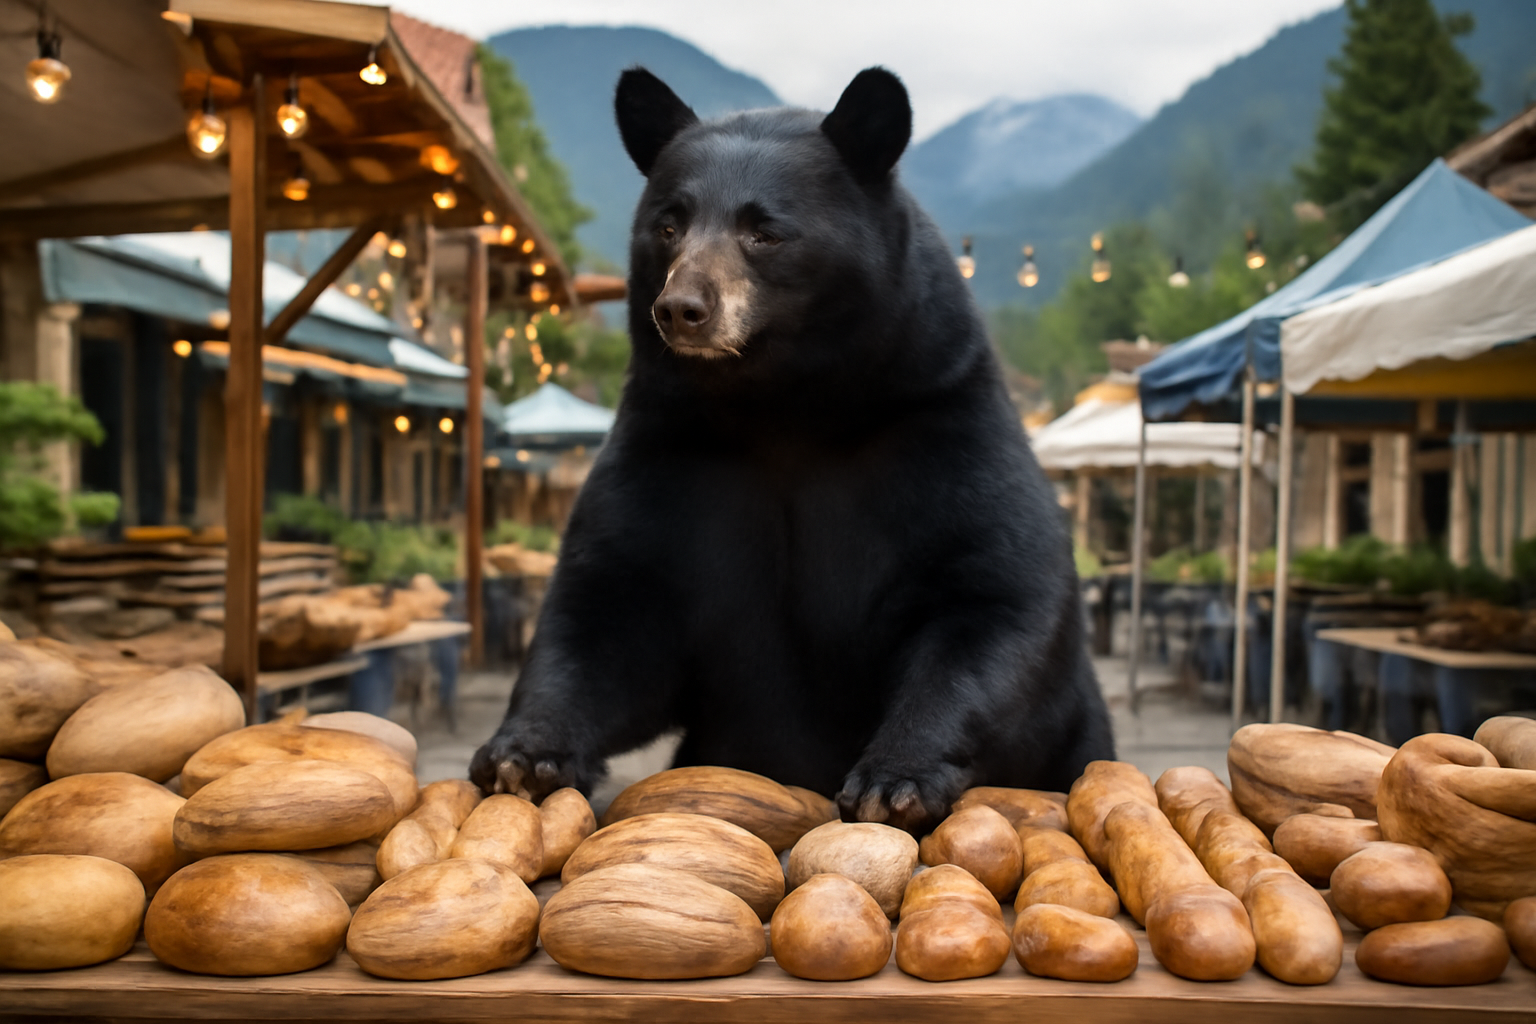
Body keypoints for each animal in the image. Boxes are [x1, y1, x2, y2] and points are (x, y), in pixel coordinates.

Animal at [470, 66, 1114, 832]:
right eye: (668, 224)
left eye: (764, 231)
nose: (682, 308)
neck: (782, 407)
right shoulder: (668, 449)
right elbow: (609, 605)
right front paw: (524, 752)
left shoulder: (942, 423)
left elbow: (994, 591)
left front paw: (896, 778)